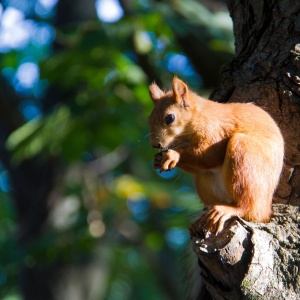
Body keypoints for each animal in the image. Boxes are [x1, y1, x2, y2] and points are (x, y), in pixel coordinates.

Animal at [149, 76, 284, 236]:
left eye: (170, 117)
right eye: (150, 118)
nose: (155, 144)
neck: (198, 116)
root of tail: (265, 209)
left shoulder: (215, 131)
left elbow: (209, 156)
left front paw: (174, 155)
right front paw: (158, 159)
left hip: (244, 154)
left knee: (247, 207)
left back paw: (227, 210)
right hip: (205, 183)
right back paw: (199, 223)